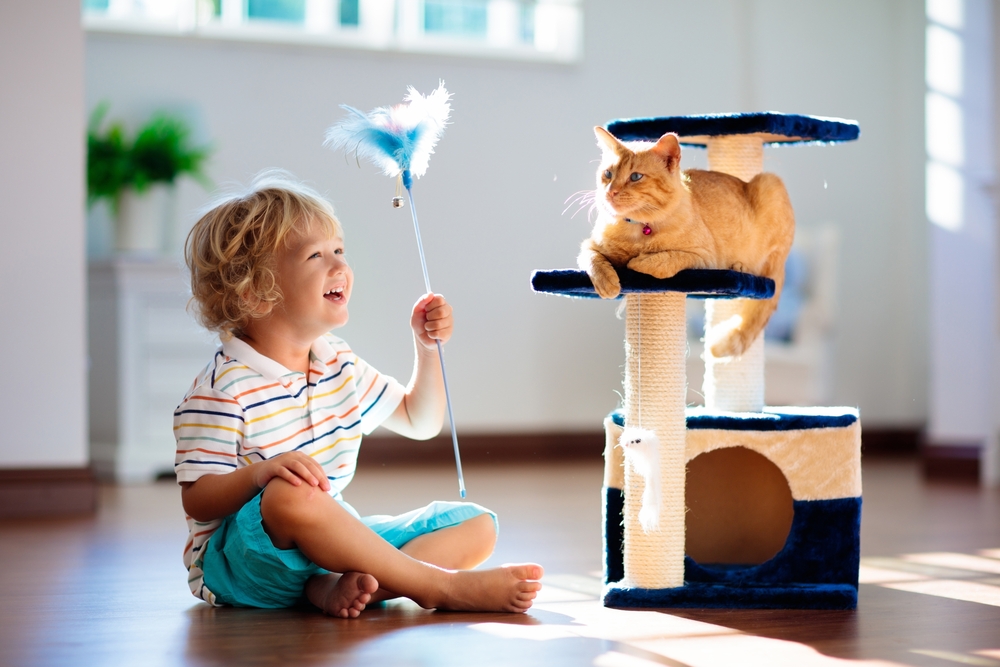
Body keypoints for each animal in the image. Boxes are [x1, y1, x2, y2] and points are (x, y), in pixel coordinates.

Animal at [580, 130, 796, 360]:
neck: (639, 230)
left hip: (770, 184)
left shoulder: (704, 259)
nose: (610, 191)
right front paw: (608, 282)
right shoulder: (588, 246)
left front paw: (639, 263)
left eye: (635, 177)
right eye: (608, 174)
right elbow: (593, 259)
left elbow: (666, 259)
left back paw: (740, 267)